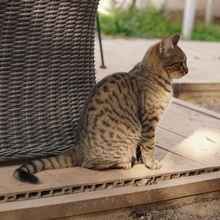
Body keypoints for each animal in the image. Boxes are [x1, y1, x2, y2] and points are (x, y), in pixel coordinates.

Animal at [14, 33, 187, 183]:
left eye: (185, 62)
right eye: (180, 63)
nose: (187, 70)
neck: (151, 75)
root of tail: (77, 148)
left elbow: (141, 147)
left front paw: (142, 160)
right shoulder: (149, 121)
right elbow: (149, 145)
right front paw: (150, 163)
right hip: (124, 140)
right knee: (89, 164)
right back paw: (124, 163)